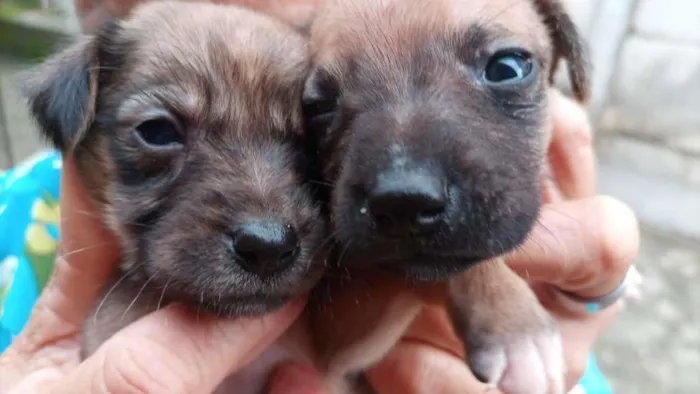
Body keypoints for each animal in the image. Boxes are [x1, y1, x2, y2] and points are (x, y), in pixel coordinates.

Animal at [304, 0, 592, 392]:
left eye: (506, 68)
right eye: (319, 106)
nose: (403, 201)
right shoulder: (334, 328)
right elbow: (460, 265)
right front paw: (514, 325)